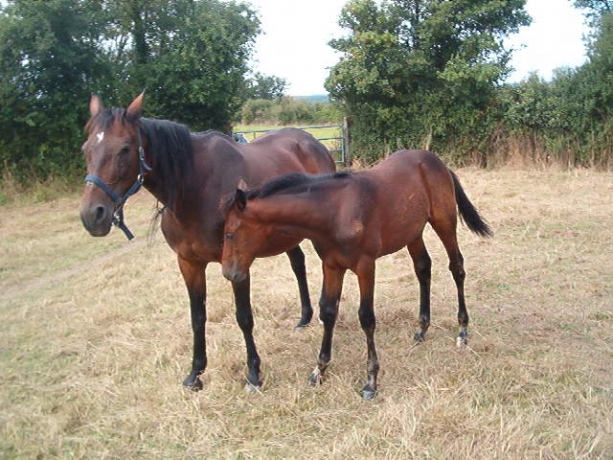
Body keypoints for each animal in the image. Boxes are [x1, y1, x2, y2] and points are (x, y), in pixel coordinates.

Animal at [78, 93, 334, 392]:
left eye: (125, 149)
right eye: (86, 149)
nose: (92, 215)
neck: (195, 189)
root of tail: (313, 143)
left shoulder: (237, 264)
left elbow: (244, 317)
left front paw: (253, 374)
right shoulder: (189, 263)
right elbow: (197, 317)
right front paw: (195, 374)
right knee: (298, 265)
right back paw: (304, 318)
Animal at [220, 150, 492, 398]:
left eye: (230, 233)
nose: (230, 274)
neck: (335, 211)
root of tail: (437, 162)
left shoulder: (365, 266)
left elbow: (367, 317)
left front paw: (371, 381)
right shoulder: (331, 265)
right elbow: (328, 311)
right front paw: (319, 371)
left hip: (444, 222)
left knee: (456, 267)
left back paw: (462, 331)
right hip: (412, 232)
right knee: (423, 268)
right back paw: (422, 329)